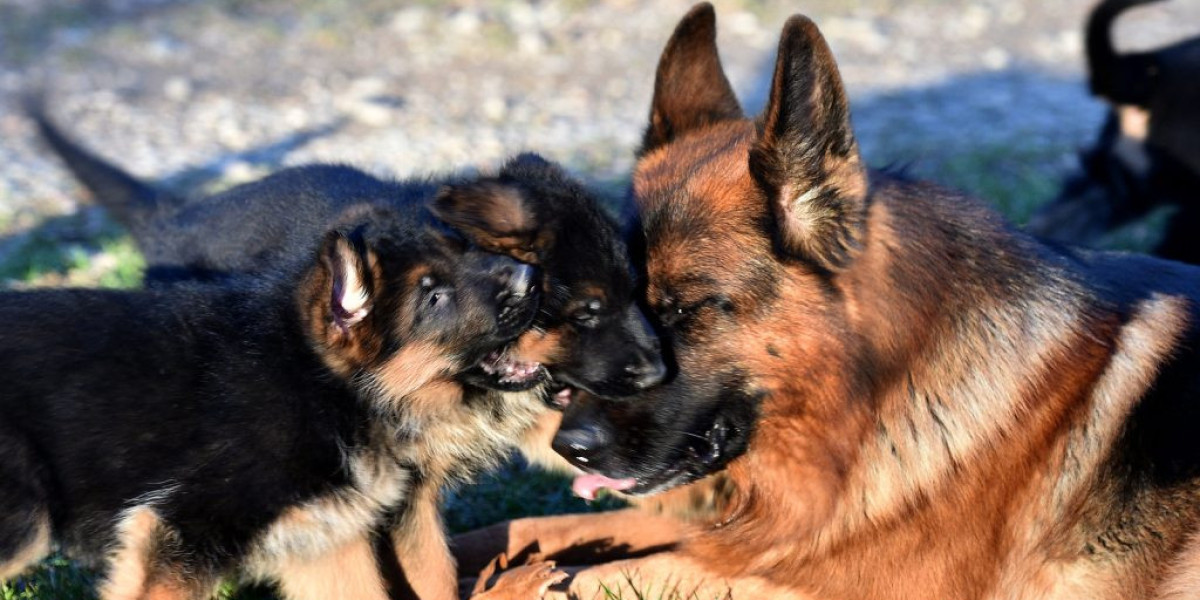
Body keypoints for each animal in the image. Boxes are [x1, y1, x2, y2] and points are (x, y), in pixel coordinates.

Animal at [0, 199, 552, 597]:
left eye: (462, 251)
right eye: (434, 296)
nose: (534, 278)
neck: (323, 386)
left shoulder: (323, 539)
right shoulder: (179, 532)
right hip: (24, 523)